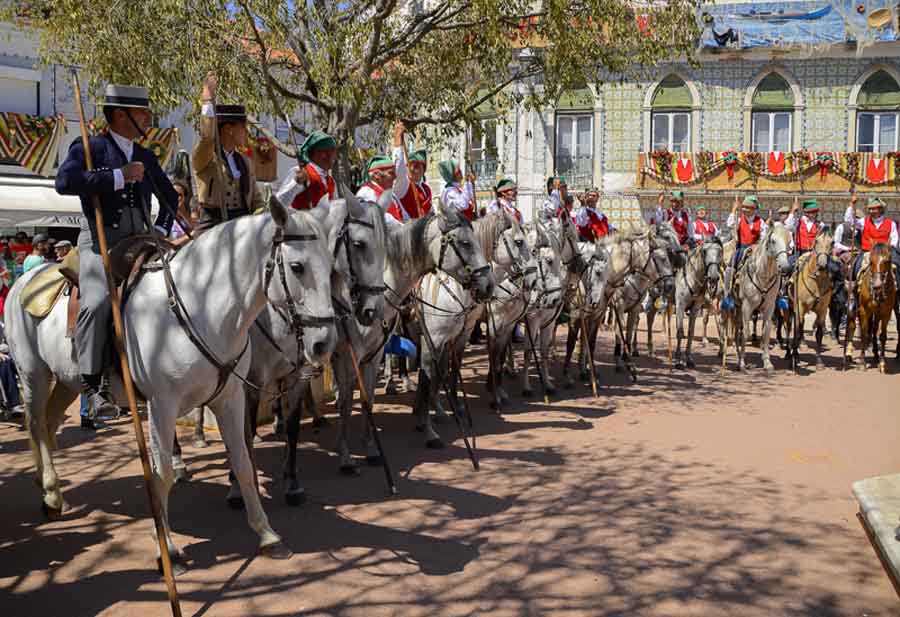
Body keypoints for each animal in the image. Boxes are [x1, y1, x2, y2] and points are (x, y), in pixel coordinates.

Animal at [6, 200, 338, 572]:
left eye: (331, 266)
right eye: (297, 267)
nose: (324, 344)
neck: (200, 306)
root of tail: (24, 281)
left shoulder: (230, 398)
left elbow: (243, 463)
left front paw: (267, 535)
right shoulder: (162, 405)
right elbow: (162, 473)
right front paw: (168, 550)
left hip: (67, 380)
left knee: (48, 424)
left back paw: (49, 488)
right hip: (33, 374)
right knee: (35, 423)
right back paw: (49, 494)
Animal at [676, 239, 724, 368]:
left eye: (720, 251)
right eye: (704, 251)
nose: (713, 277)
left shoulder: (696, 308)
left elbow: (691, 332)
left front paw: (689, 359)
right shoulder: (680, 306)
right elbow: (680, 332)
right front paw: (678, 361)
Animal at [720, 224, 792, 372]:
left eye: (789, 242)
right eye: (773, 241)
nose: (786, 268)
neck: (762, 276)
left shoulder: (769, 307)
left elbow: (765, 333)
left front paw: (767, 362)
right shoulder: (747, 306)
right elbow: (746, 332)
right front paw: (742, 363)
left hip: (738, 308)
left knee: (737, 328)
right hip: (727, 304)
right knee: (724, 324)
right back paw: (723, 352)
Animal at [788, 229, 836, 368]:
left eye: (832, 242)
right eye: (816, 241)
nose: (822, 265)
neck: (816, 282)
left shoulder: (822, 310)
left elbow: (819, 333)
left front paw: (819, 362)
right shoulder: (799, 307)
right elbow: (796, 329)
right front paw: (795, 357)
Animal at [848, 243, 896, 372]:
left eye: (887, 260)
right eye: (871, 261)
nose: (877, 286)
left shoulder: (886, 313)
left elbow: (882, 336)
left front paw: (882, 363)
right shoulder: (864, 311)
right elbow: (864, 334)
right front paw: (862, 362)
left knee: (874, 328)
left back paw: (875, 354)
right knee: (854, 325)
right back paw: (849, 353)